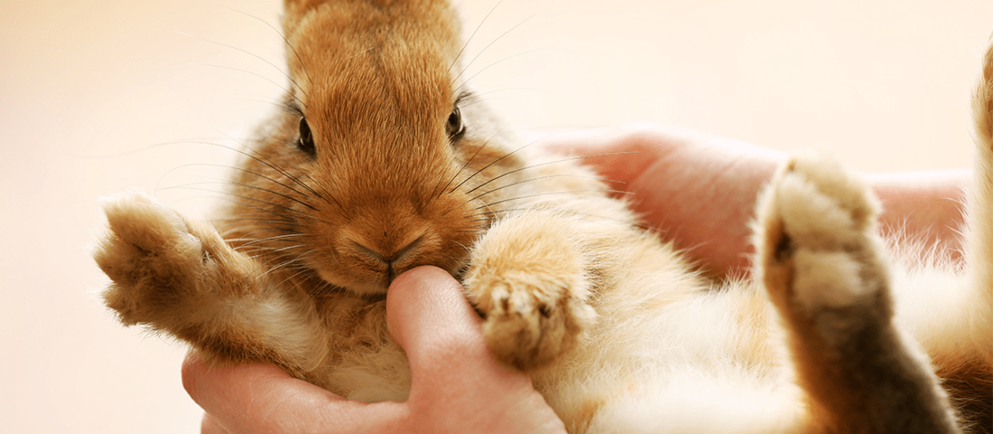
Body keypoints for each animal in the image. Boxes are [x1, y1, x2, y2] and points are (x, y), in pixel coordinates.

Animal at [94, 0, 992, 432]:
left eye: (456, 119)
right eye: (302, 131)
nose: (387, 240)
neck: (373, 298)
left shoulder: (572, 214)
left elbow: (535, 234)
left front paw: (525, 306)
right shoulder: (311, 351)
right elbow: (253, 314)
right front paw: (147, 254)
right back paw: (823, 252)